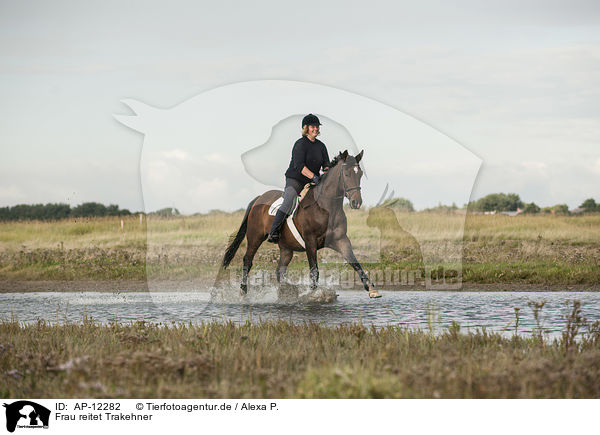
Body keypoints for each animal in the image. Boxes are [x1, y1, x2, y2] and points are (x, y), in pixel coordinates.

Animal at [219, 151, 380, 300]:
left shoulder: (340, 240)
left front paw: (372, 289)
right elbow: (314, 270)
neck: (326, 208)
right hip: (255, 237)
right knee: (247, 260)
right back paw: (243, 292)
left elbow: (355, 262)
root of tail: (259, 198)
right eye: (346, 174)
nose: (356, 202)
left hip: (286, 248)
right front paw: (314, 294)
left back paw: (286, 292)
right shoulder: (310, 241)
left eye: (360, 174)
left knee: (280, 270)